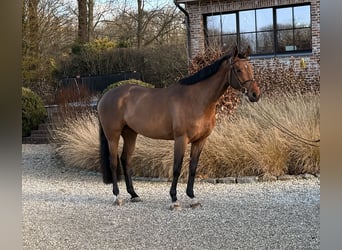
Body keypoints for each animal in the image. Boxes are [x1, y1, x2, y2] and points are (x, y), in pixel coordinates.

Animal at [97, 46, 260, 209]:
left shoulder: (200, 140)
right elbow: (177, 168)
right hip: (113, 136)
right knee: (113, 162)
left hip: (130, 133)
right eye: (238, 69)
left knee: (125, 160)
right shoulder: (181, 139)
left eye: (250, 68)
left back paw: (134, 195)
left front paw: (193, 198)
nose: (255, 94)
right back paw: (117, 197)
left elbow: (193, 168)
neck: (196, 99)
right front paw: (174, 199)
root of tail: (106, 96)